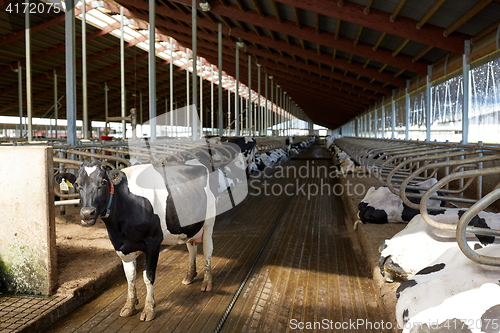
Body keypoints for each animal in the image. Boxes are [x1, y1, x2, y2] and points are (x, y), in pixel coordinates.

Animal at [55, 157, 218, 320]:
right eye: (77, 184)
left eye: (104, 182)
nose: (87, 213)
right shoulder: (121, 245)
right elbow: (130, 276)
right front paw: (130, 305)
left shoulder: (153, 241)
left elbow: (148, 276)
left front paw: (149, 309)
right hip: (190, 225)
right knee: (191, 247)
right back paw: (190, 276)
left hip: (209, 221)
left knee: (207, 250)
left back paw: (207, 282)